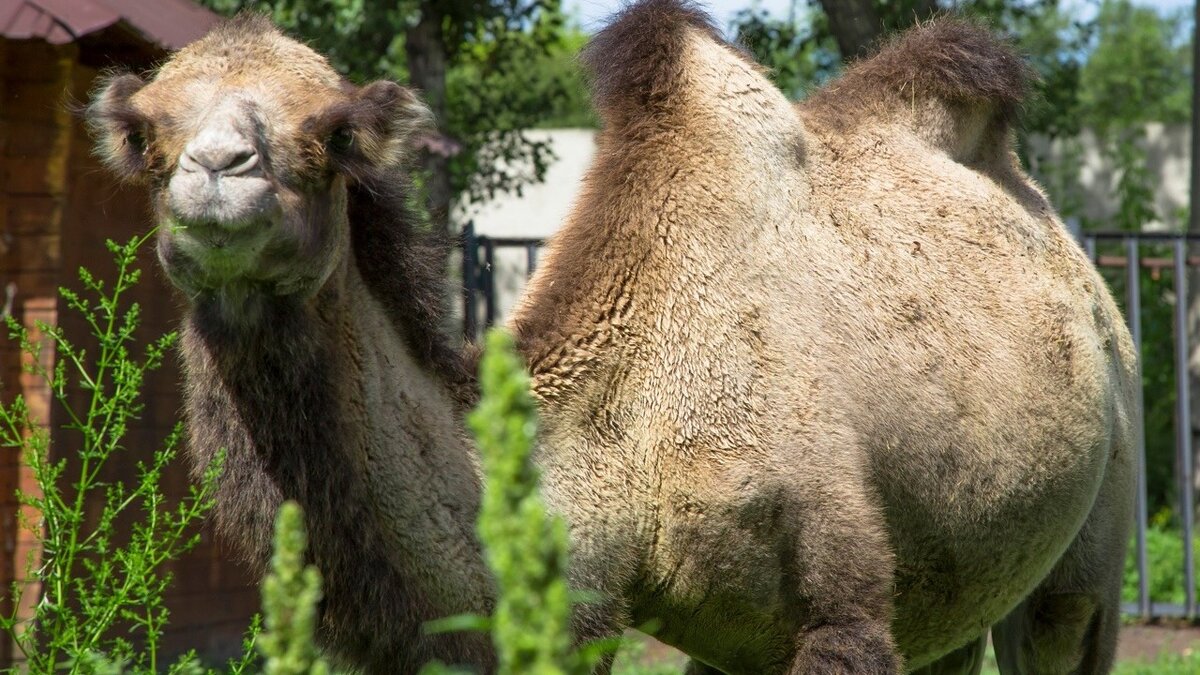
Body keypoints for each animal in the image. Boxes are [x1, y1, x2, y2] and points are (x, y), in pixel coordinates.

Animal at [84, 1, 1132, 672]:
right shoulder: (581, 615)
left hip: (1093, 527)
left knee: (1065, 621)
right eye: (144, 135)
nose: (219, 169)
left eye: (335, 135)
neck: (627, 437)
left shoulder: (841, 602)